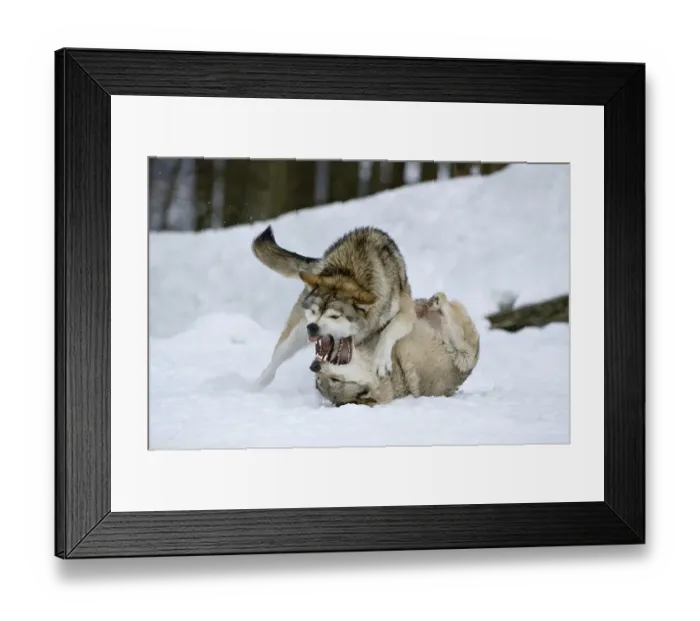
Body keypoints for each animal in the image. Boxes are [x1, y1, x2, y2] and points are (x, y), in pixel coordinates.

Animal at [251, 225, 417, 388]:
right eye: (313, 311)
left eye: (334, 316)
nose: (312, 327)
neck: (349, 274)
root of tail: (318, 264)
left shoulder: (407, 312)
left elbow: (388, 332)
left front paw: (381, 362)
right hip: (294, 337)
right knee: (273, 365)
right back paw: (255, 386)